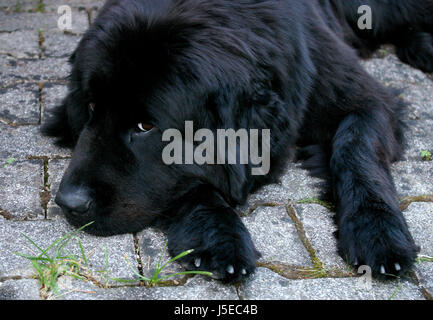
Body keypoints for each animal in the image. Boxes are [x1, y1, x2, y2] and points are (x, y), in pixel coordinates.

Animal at [41, 0, 432, 282]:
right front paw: (220, 237)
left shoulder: (364, 98)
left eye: (145, 125)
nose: (69, 203)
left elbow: (356, 149)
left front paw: (377, 231)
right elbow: (193, 180)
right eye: (91, 107)